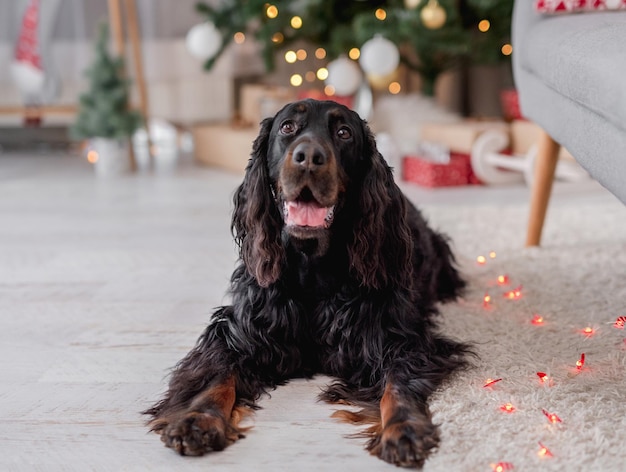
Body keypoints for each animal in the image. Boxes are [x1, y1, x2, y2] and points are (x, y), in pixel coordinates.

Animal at [145, 97, 468, 466]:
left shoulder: (398, 337)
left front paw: (404, 428)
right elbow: (217, 373)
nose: (309, 156)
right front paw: (197, 419)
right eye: (287, 127)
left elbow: (397, 383)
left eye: (343, 133)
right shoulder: (241, 331)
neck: (313, 267)